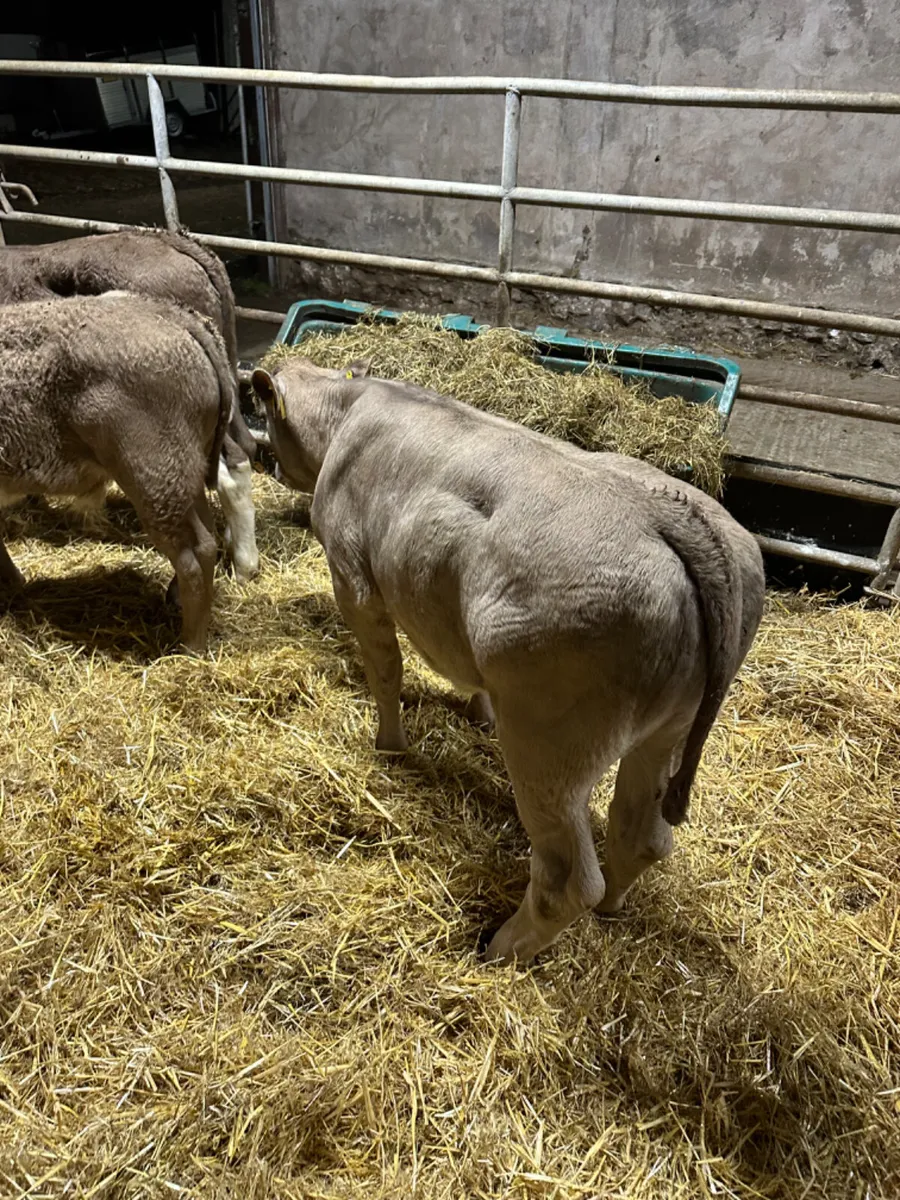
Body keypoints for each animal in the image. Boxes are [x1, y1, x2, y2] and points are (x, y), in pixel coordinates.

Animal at [0, 292, 237, 654]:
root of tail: (173, 314)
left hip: (154, 482)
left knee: (194, 556)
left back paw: (190, 646)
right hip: (184, 476)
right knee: (206, 538)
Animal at [251, 356, 766, 965]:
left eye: (263, 414)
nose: (258, 456)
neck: (349, 408)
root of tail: (672, 515)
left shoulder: (354, 580)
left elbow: (386, 671)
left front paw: (390, 746)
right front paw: (477, 711)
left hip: (550, 742)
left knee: (568, 879)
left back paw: (500, 947)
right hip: (668, 729)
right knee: (642, 835)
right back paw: (614, 906)